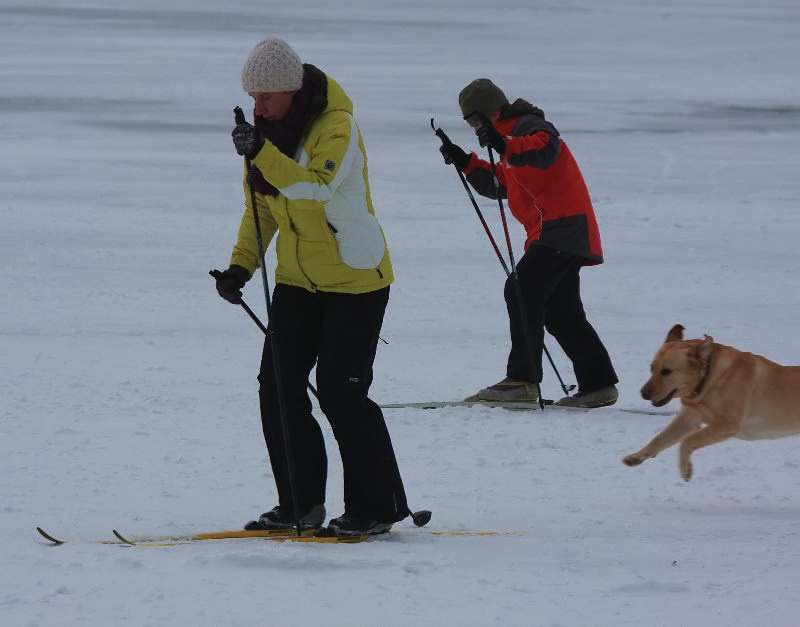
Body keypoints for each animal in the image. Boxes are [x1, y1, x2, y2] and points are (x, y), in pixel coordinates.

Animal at [620, 324, 800, 480]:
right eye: (652, 368)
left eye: (666, 371)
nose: (643, 393)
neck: (709, 379)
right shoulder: (689, 418)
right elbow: (659, 438)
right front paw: (636, 457)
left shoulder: (726, 425)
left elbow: (687, 441)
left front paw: (686, 469)